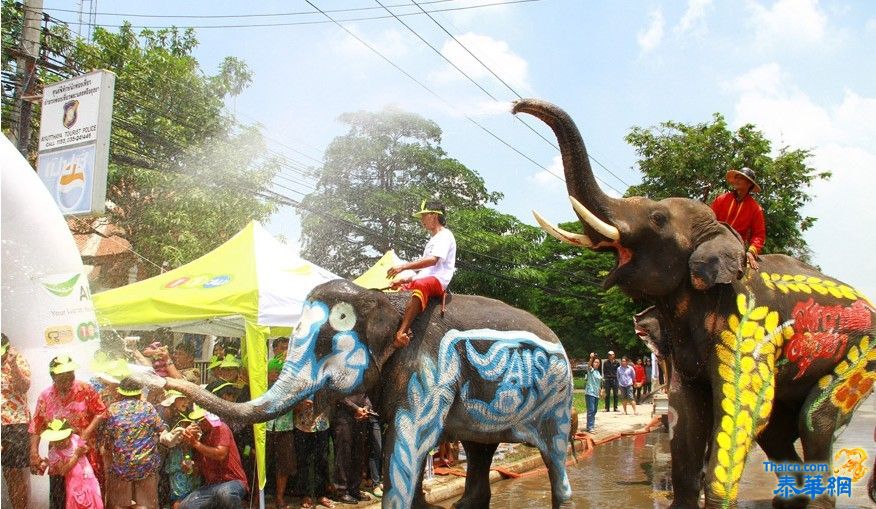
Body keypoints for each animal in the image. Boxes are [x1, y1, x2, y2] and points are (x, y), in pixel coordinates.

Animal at [145, 280, 576, 506]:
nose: (159, 372)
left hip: (558, 398)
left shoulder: (428, 368)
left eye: (325, 343)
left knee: (554, 455)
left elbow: (405, 446)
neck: (383, 298)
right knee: (479, 452)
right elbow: (400, 447)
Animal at [512, 96, 876, 508]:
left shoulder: (747, 327)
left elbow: (742, 410)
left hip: (863, 354)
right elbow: (686, 411)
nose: (516, 108)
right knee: (778, 428)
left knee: (813, 422)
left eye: (657, 217)